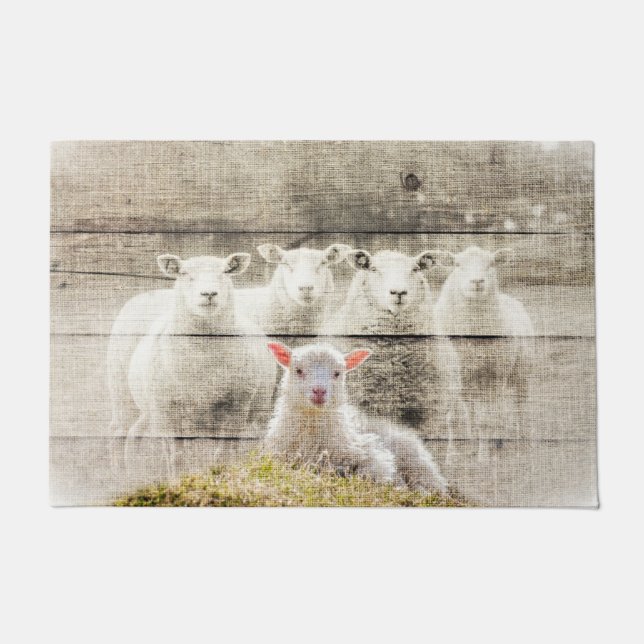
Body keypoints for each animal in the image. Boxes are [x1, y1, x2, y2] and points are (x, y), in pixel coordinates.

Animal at [264, 342, 447, 493]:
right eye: (298, 370)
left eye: (337, 373)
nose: (319, 391)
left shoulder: (374, 456)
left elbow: (372, 473)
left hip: (416, 462)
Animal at [433, 246, 535, 460]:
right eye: (457, 264)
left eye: (491, 263)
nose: (477, 281)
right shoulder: (452, 377)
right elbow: (452, 417)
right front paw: (452, 455)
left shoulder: (493, 376)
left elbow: (487, 420)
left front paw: (484, 457)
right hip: (470, 381)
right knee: (472, 410)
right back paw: (475, 442)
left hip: (520, 373)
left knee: (518, 407)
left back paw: (520, 444)